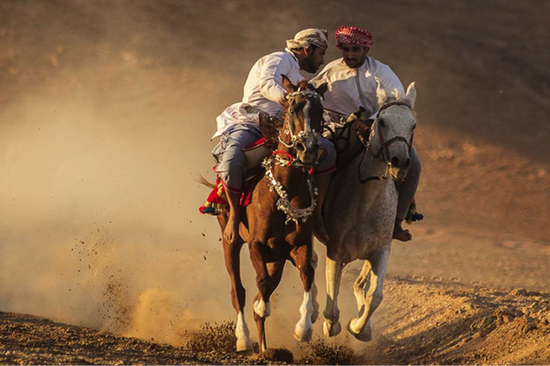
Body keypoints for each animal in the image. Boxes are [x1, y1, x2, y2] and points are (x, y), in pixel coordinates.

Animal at [216, 76, 328, 352]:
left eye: (319, 111)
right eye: (294, 109)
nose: (307, 149)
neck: (283, 190)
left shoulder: (298, 245)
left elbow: (306, 273)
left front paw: (304, 328)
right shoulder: (256, 244)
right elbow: (261, 286)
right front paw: (260, 308)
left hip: (277, 256)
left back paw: (265, 347)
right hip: (229, 241)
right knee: (237, 290)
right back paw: (244, 338)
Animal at [320, 81, 418, 342]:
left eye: (413, 125)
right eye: (382, 121)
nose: (400, 161)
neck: (364, 206)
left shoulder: (381, 251)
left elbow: (375, 295)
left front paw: (359, 327)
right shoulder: (335, 252)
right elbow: (331, 308)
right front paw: (328, 326)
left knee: (360, 284)